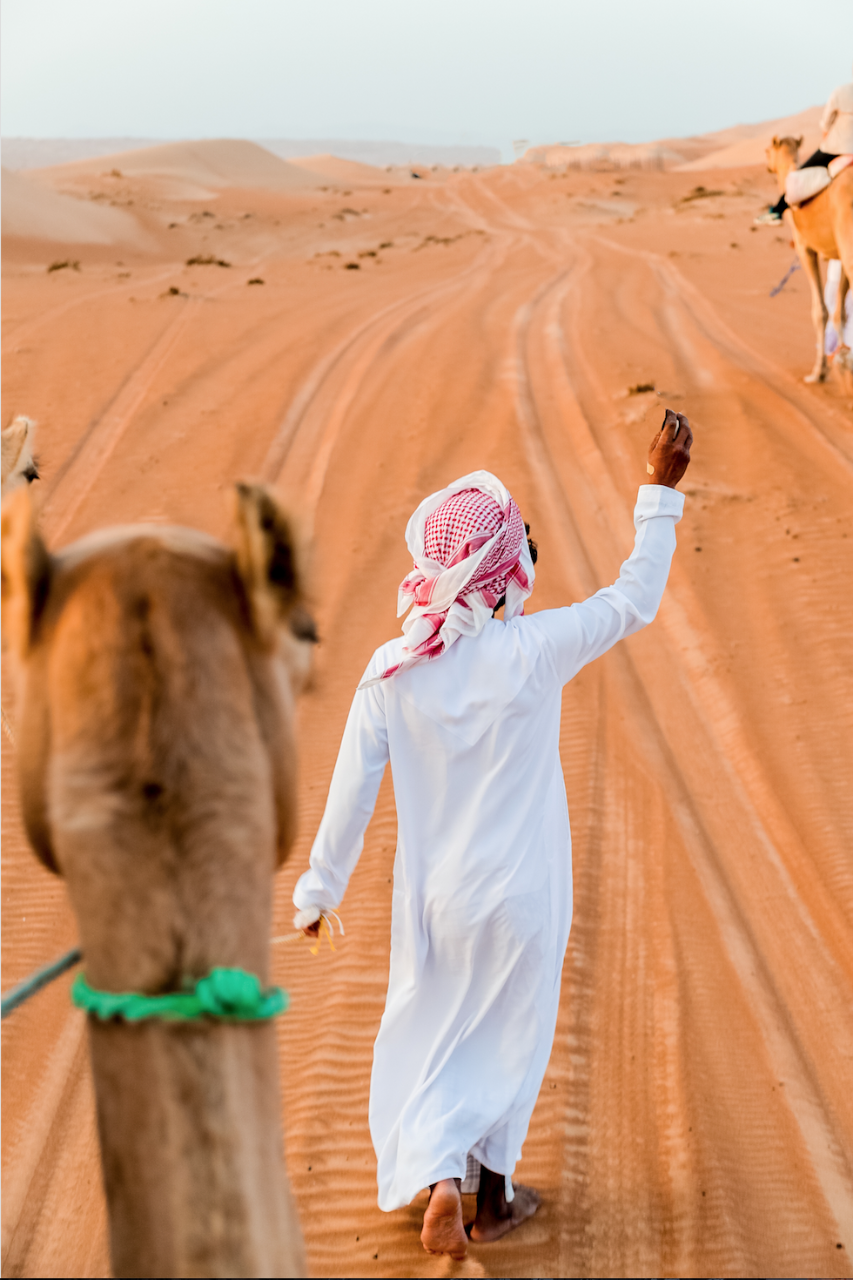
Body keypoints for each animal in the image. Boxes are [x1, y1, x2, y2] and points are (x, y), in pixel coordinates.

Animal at [763, 139, 850, 381]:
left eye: (767, 151)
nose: (767, 166)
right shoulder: (838, 254)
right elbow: (840, 312)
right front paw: (839, 360)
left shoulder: (805, 249)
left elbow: (820, 311)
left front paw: (818, 372)